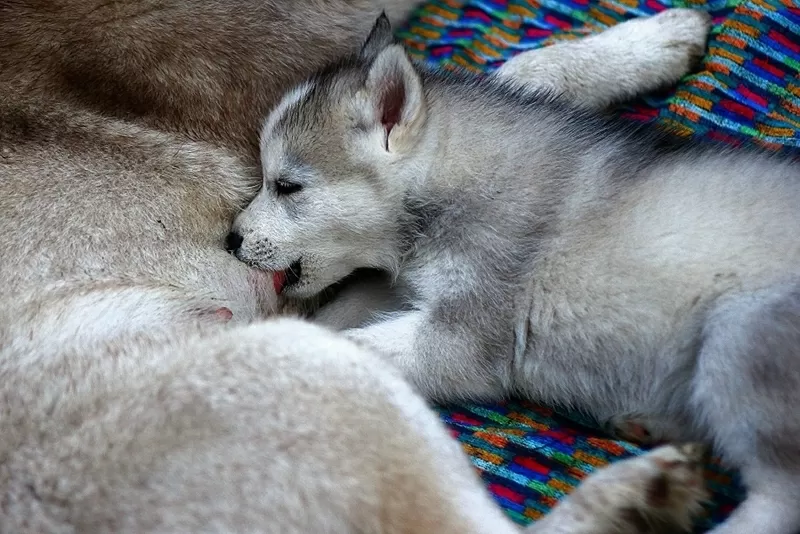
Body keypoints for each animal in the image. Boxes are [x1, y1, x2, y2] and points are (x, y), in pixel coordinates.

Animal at [230, 11, 800, 534]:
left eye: (287, 186)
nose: (231, 240)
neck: (448, 181)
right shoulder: (402, 288)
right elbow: (337, 317)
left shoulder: (466, 332)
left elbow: (347, 345)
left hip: (740, 334)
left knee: (780, 496)